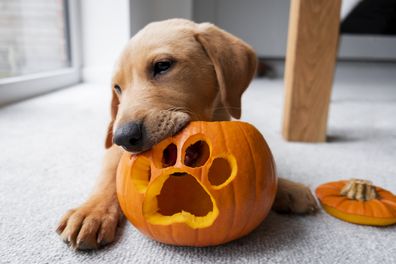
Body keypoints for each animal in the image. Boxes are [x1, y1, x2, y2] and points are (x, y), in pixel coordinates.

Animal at [56, 18, 318, 250]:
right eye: (118, 88)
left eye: (162, 66)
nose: (123, 137)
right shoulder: (114, 151)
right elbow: (109, 176)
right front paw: (93, 211)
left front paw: (287, 188)